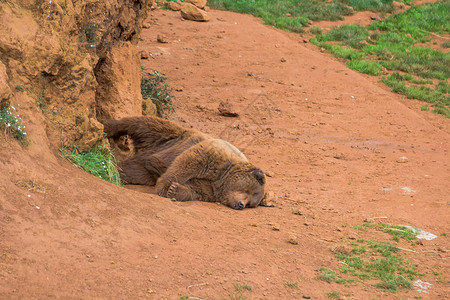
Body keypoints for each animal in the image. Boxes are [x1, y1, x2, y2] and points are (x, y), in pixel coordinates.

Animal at [100, 116, 266, 210]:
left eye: (251, 203)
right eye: (248, 190)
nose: (241, 205)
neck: (222, 180)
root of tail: (143, 151)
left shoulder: (210, 188)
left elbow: (194, 190)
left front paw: (174, 190)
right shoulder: (215, 156)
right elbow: (188, 162)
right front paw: (164, 187)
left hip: (145, 169)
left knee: (131, 170)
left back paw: (114, 168)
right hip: (168, 136)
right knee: (142, 124)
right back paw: (106, 126)